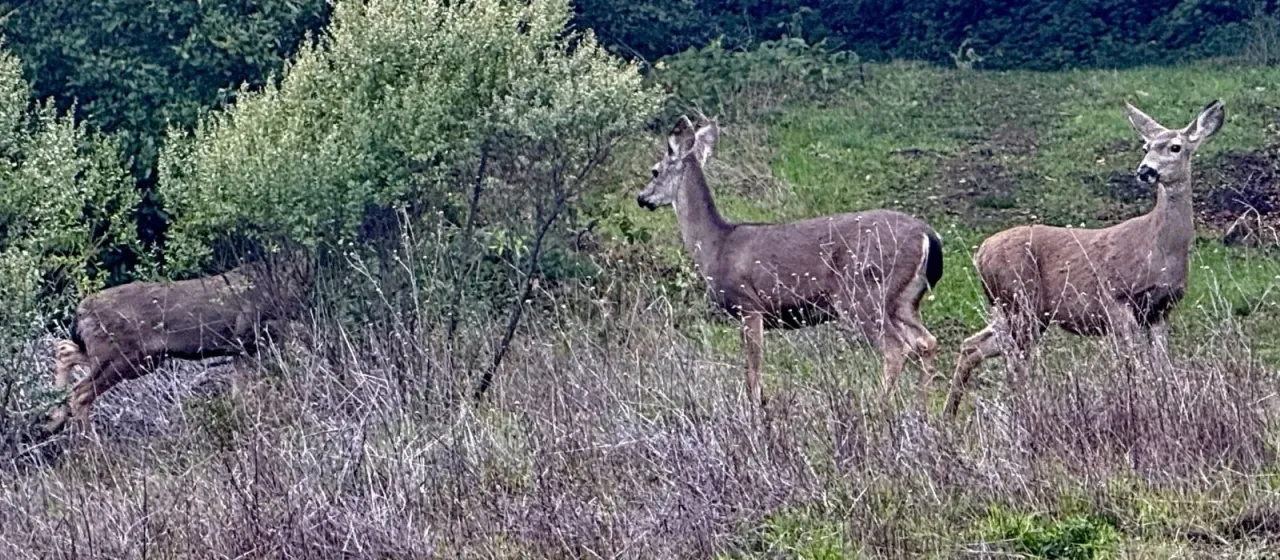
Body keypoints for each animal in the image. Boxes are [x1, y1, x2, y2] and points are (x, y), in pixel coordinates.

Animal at [44, 256, 314, 434]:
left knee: (65, 350)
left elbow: (240, 391)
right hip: (121, 356)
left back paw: (54, 420)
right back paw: (93, 448)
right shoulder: (250, 332)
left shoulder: (240, 347)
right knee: (81, 393)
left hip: (132, 358)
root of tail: (82, 310)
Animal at [637, 115, 945, 407]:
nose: (642, 198)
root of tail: (928, 235)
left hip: (864, 291)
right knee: (925, 341)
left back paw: (879, 408)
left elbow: (753, 371)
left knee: (896, 347)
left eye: (655, 170)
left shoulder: (749, 305)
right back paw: (922, 410)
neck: (716, 245)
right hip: (904, 300)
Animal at [943, 100, 1225, 418]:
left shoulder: (1160, 310)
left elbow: (1163, 369)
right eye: (1146, 146)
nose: (1145, 170)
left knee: (974, 345)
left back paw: (949, 414)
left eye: (1176, 147)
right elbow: (1133, 366)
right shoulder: (1116, 298)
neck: (1159, 248)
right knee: (1013, 362)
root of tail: (980, 254)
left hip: (1015, 308)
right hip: (1020, 298)